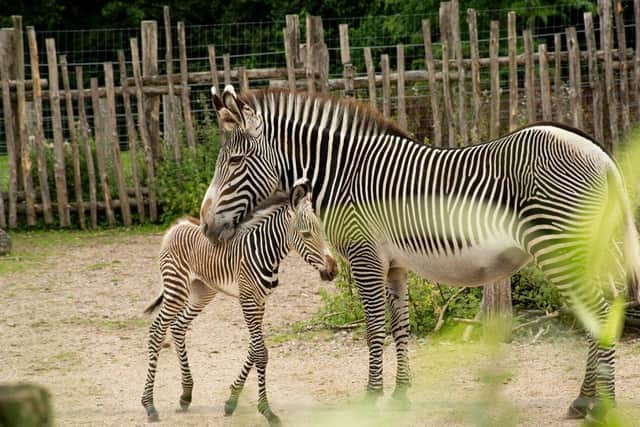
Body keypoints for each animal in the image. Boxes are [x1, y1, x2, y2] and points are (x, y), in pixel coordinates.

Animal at [141, 183, 338, 424]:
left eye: (322, 231)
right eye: (307, 234)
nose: (333, 271)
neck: (265, 253)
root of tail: (177, 226)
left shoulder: (260, 301)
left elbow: (255, 348)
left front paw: (232, 400)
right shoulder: (248, 300)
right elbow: (260, 352)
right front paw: (267, 411)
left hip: (202, 292)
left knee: (178, 326)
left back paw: (186, 395)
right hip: (176, 287)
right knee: (157, 330)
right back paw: (149, 405)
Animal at [200, 86, 640, 418]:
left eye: (235, 161)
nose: (206, 226)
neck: (345, 176)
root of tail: (601, 155)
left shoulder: (365, 257)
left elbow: (374, 329)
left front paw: (372, 397)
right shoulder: (395, 265)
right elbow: (400, 328)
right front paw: (400, 395)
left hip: (562, 247)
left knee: (600, 311)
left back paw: (602, 405)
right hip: (585, 248)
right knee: (604, 308)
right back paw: (586, 400)